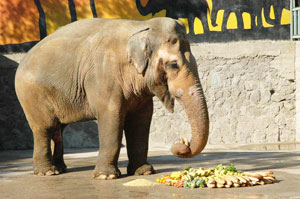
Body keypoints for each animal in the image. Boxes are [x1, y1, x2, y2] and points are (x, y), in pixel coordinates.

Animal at [14, 17, 209, 179]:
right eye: (174, 65)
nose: (182, 144)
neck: (140, 26)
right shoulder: (103, 77)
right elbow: (112, 118)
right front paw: (106, 176)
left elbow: (141, 121)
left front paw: (144, 172)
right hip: (31, 94)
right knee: (44, 128)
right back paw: (47, 172)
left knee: (58, 129)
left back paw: (61, 169)